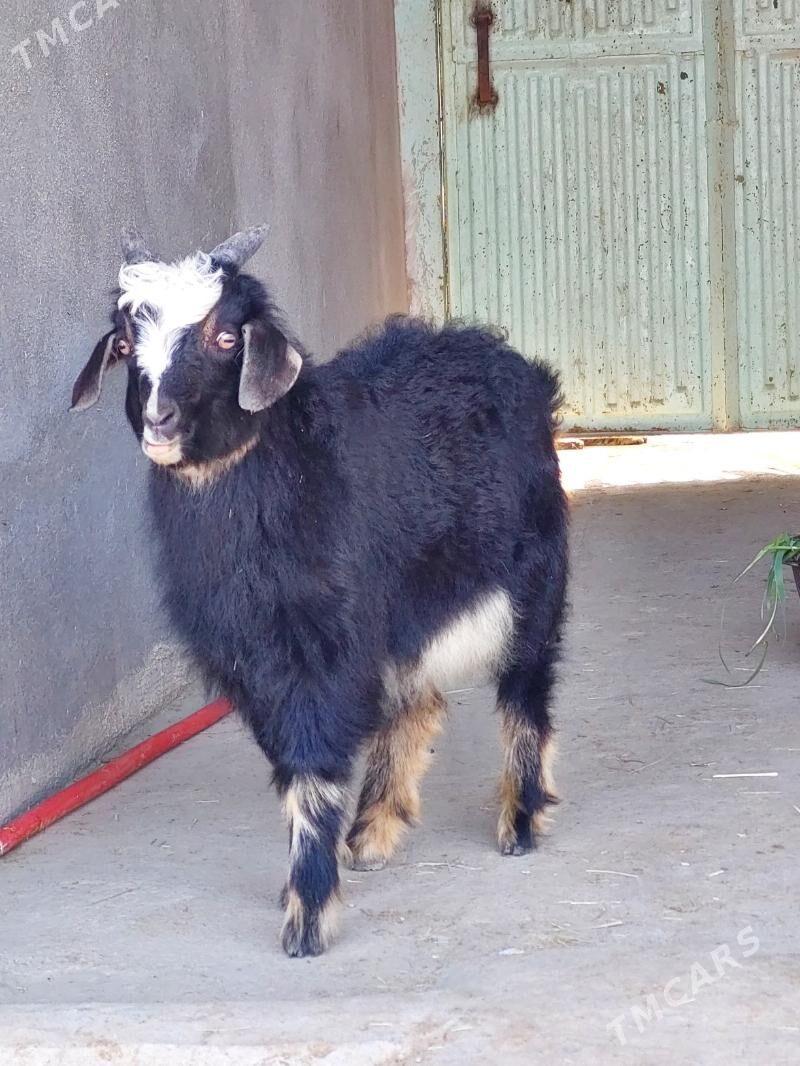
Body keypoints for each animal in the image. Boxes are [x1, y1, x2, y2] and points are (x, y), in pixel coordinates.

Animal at [71, 225, 569, 957]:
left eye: (226, 336)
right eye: (127, 344)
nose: (160, 418)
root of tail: (504, 357)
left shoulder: (320, 647)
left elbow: (312, 765)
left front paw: (307, 913)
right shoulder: (253, 659)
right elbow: (295, 763)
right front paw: (315, 878)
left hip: (535, 576)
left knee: (525, 685)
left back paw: (522, 819)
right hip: (404, 609)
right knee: (416, 698)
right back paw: (374, 829)